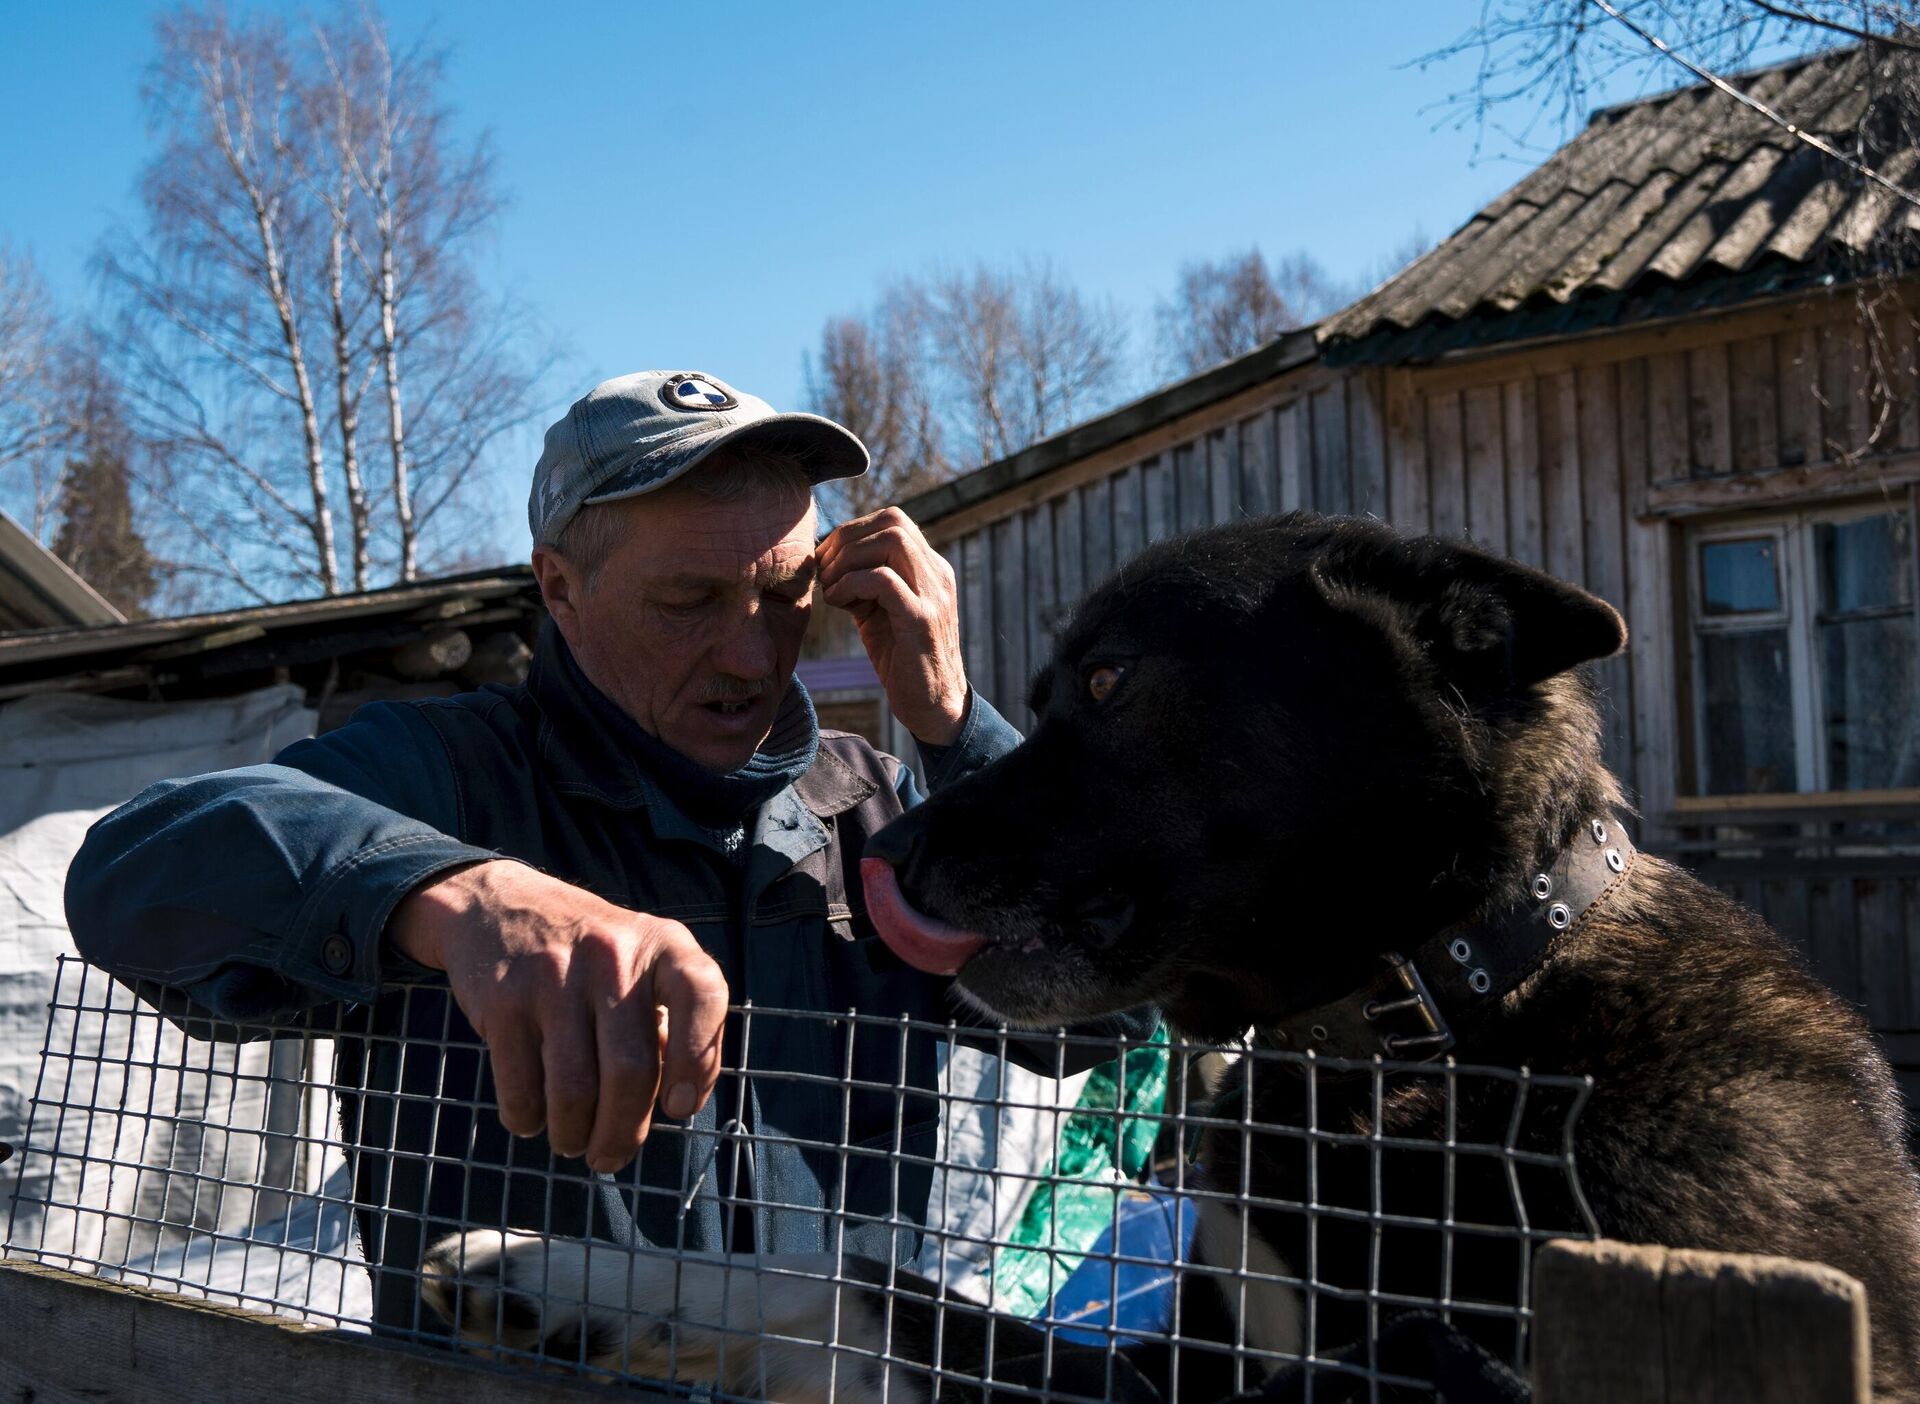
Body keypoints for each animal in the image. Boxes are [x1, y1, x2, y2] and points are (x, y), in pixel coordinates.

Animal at [424, 518, 1920, 1404]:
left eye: (1108, 680)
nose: (882, 851)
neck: (1406, 1031)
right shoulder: (1173, 1353)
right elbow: (859, 1290)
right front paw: (559, 1284)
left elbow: (883, 1293)